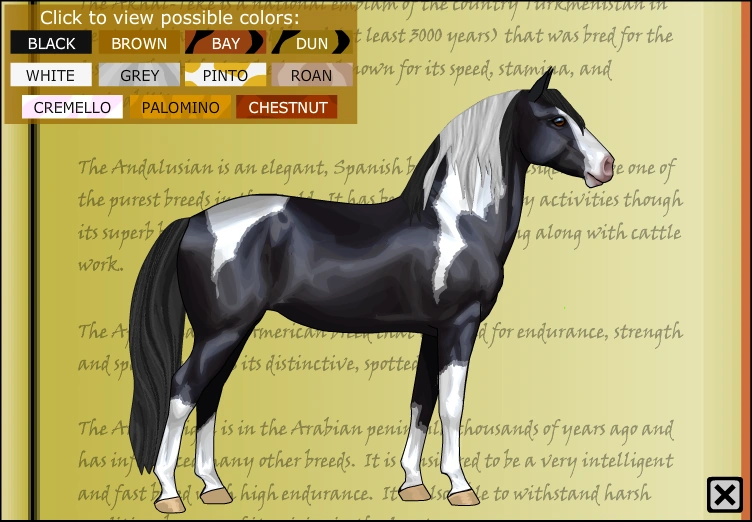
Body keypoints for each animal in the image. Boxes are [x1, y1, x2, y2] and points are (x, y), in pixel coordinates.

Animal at [127, 68, 614, 513]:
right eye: (556, 120)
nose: (607, 166)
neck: (461, 221)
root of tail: (195, 219)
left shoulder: (433, 332)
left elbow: (422, 402)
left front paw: (413, 484)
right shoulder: (460, 326)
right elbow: (451, 404)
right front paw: (460, 487)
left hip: (231, 332)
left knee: (208, 395)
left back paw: (214, 488)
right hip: (222, 332)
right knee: (183, 391)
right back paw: (170, 494)